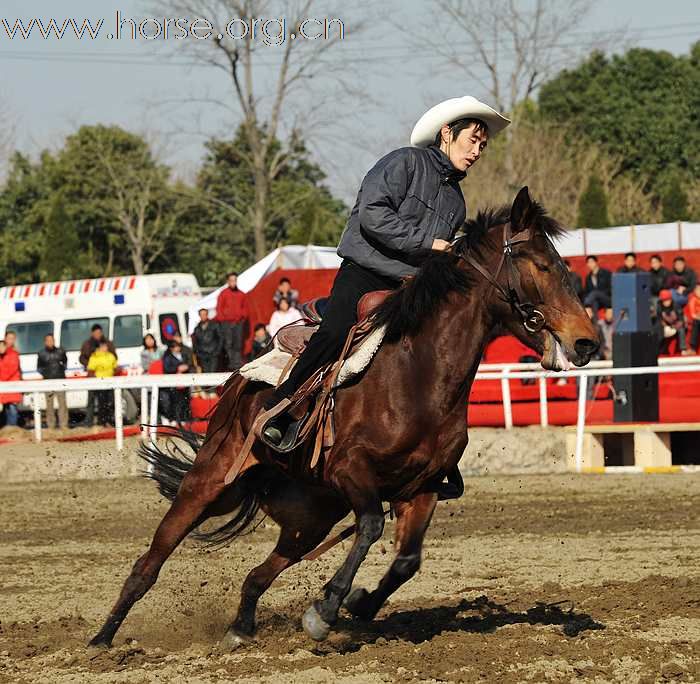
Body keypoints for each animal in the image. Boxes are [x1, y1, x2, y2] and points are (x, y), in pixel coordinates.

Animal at [89, 186, 599, 650]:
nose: (587, 341)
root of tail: (239, 381)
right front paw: (327, 607)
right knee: (151, 561)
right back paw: (102, 637)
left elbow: (407, 560)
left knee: (258, 574)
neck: (418, 373)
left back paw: (240, 628)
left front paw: (359, 604)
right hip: (213, 483)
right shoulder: (353, 471)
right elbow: (372, 526)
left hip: (310, 516)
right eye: (541, 265)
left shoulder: (422, 489)